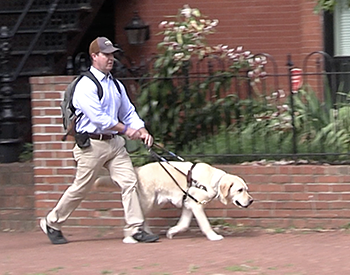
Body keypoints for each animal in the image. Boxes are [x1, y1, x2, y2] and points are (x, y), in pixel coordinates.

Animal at [94, 163, 253, 243]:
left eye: (246, 189)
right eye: (240, 190)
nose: (251, 200)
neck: (213, 181)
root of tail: (137, 170)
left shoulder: (189, 205)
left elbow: (183, 224)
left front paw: (171, 232)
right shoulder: (196, 205)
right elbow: (205, 224)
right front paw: (213, 236)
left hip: (155, 202)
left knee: (142, 218)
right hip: (148, 201)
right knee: (136, 216)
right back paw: (131, 235)